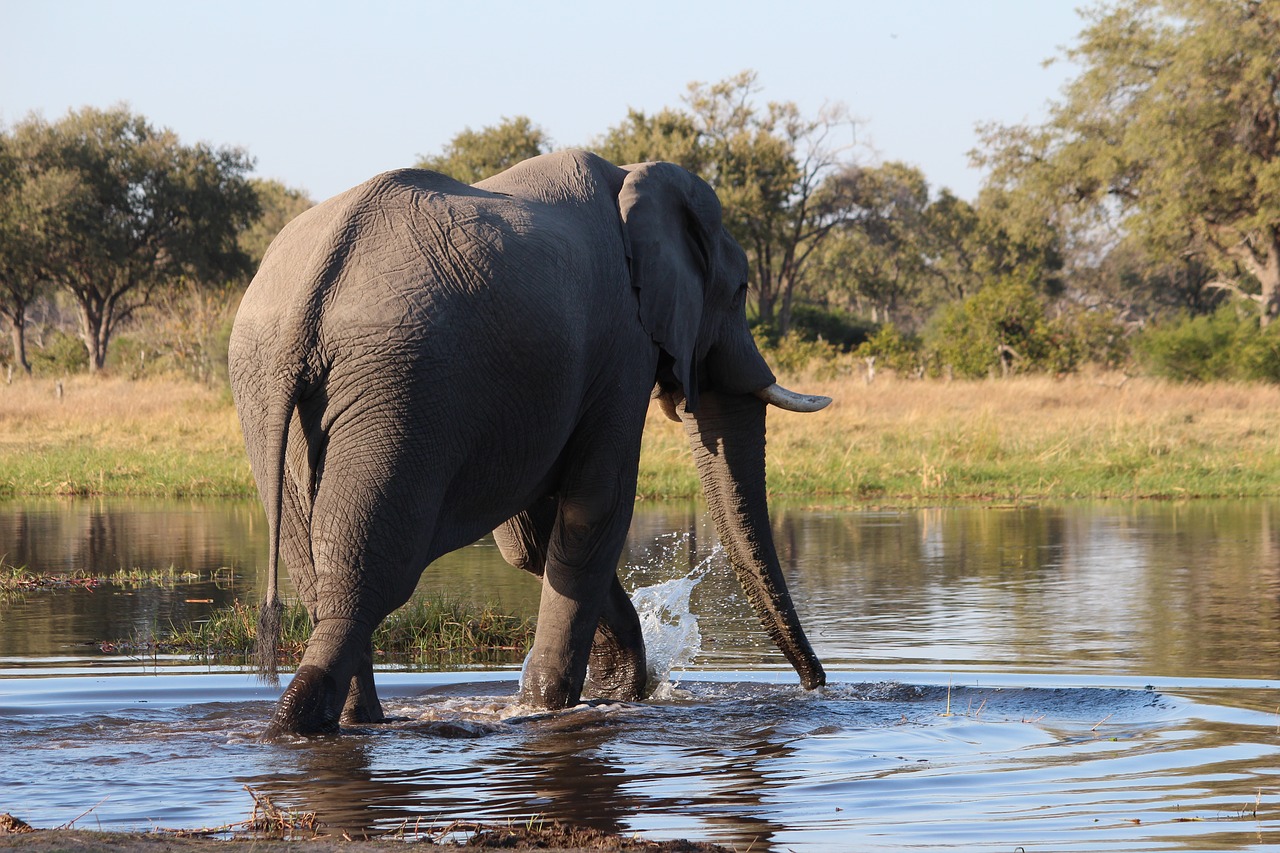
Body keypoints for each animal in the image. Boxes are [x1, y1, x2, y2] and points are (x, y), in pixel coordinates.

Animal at [230, 149, 829, 732]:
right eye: (741, 290)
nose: (815, 686)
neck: (633, 175)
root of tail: (312, 291)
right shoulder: (623, 344)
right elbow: (596, 509)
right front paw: (557, 705)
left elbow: (532, 540)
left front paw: (614, 690)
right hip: (398, 384)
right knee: (367, 576)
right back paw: (303, 723)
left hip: (271, 393)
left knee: (321, 577)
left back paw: (359, 721)